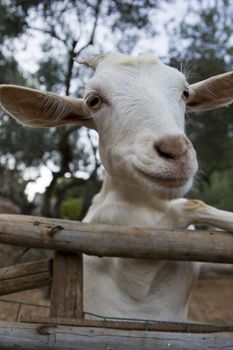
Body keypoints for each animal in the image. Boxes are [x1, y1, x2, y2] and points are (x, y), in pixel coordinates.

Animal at [0, 51, 233, 320]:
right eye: (93, 100)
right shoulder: (130, 260)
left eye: (185, 93)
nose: (175, 152)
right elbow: (190, 204)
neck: (148, 208)